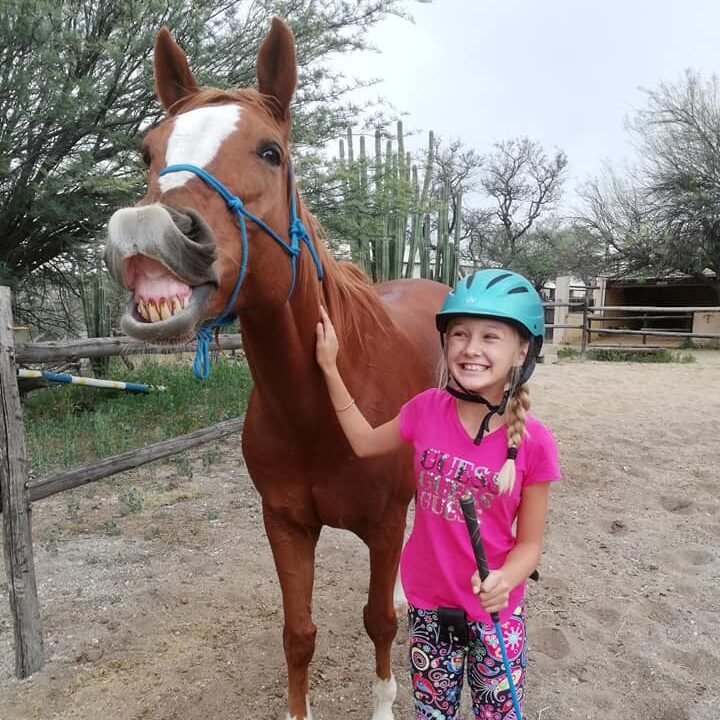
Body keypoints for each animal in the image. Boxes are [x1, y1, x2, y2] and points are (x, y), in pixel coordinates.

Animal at [103, 17, 449, 720]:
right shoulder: (286, 525)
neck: (319, 406)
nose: (148, 231)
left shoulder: (381, 526)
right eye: (149, 152)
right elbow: (298, 634)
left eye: (270, 152)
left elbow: (378, 623)